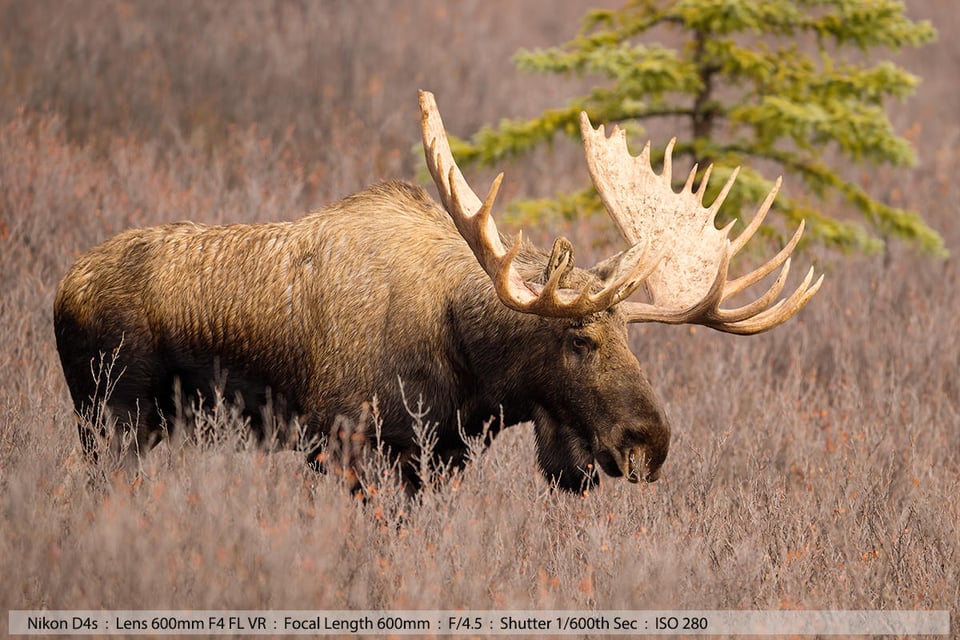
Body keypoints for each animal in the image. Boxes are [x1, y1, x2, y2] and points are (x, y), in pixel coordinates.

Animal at [52, 89, 820, 490]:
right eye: (579, 337)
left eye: (631, 335)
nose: (649, 444)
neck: (470, 371)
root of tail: (60, 289)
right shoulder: (342, 446)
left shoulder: (439, 460)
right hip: (111, 419)